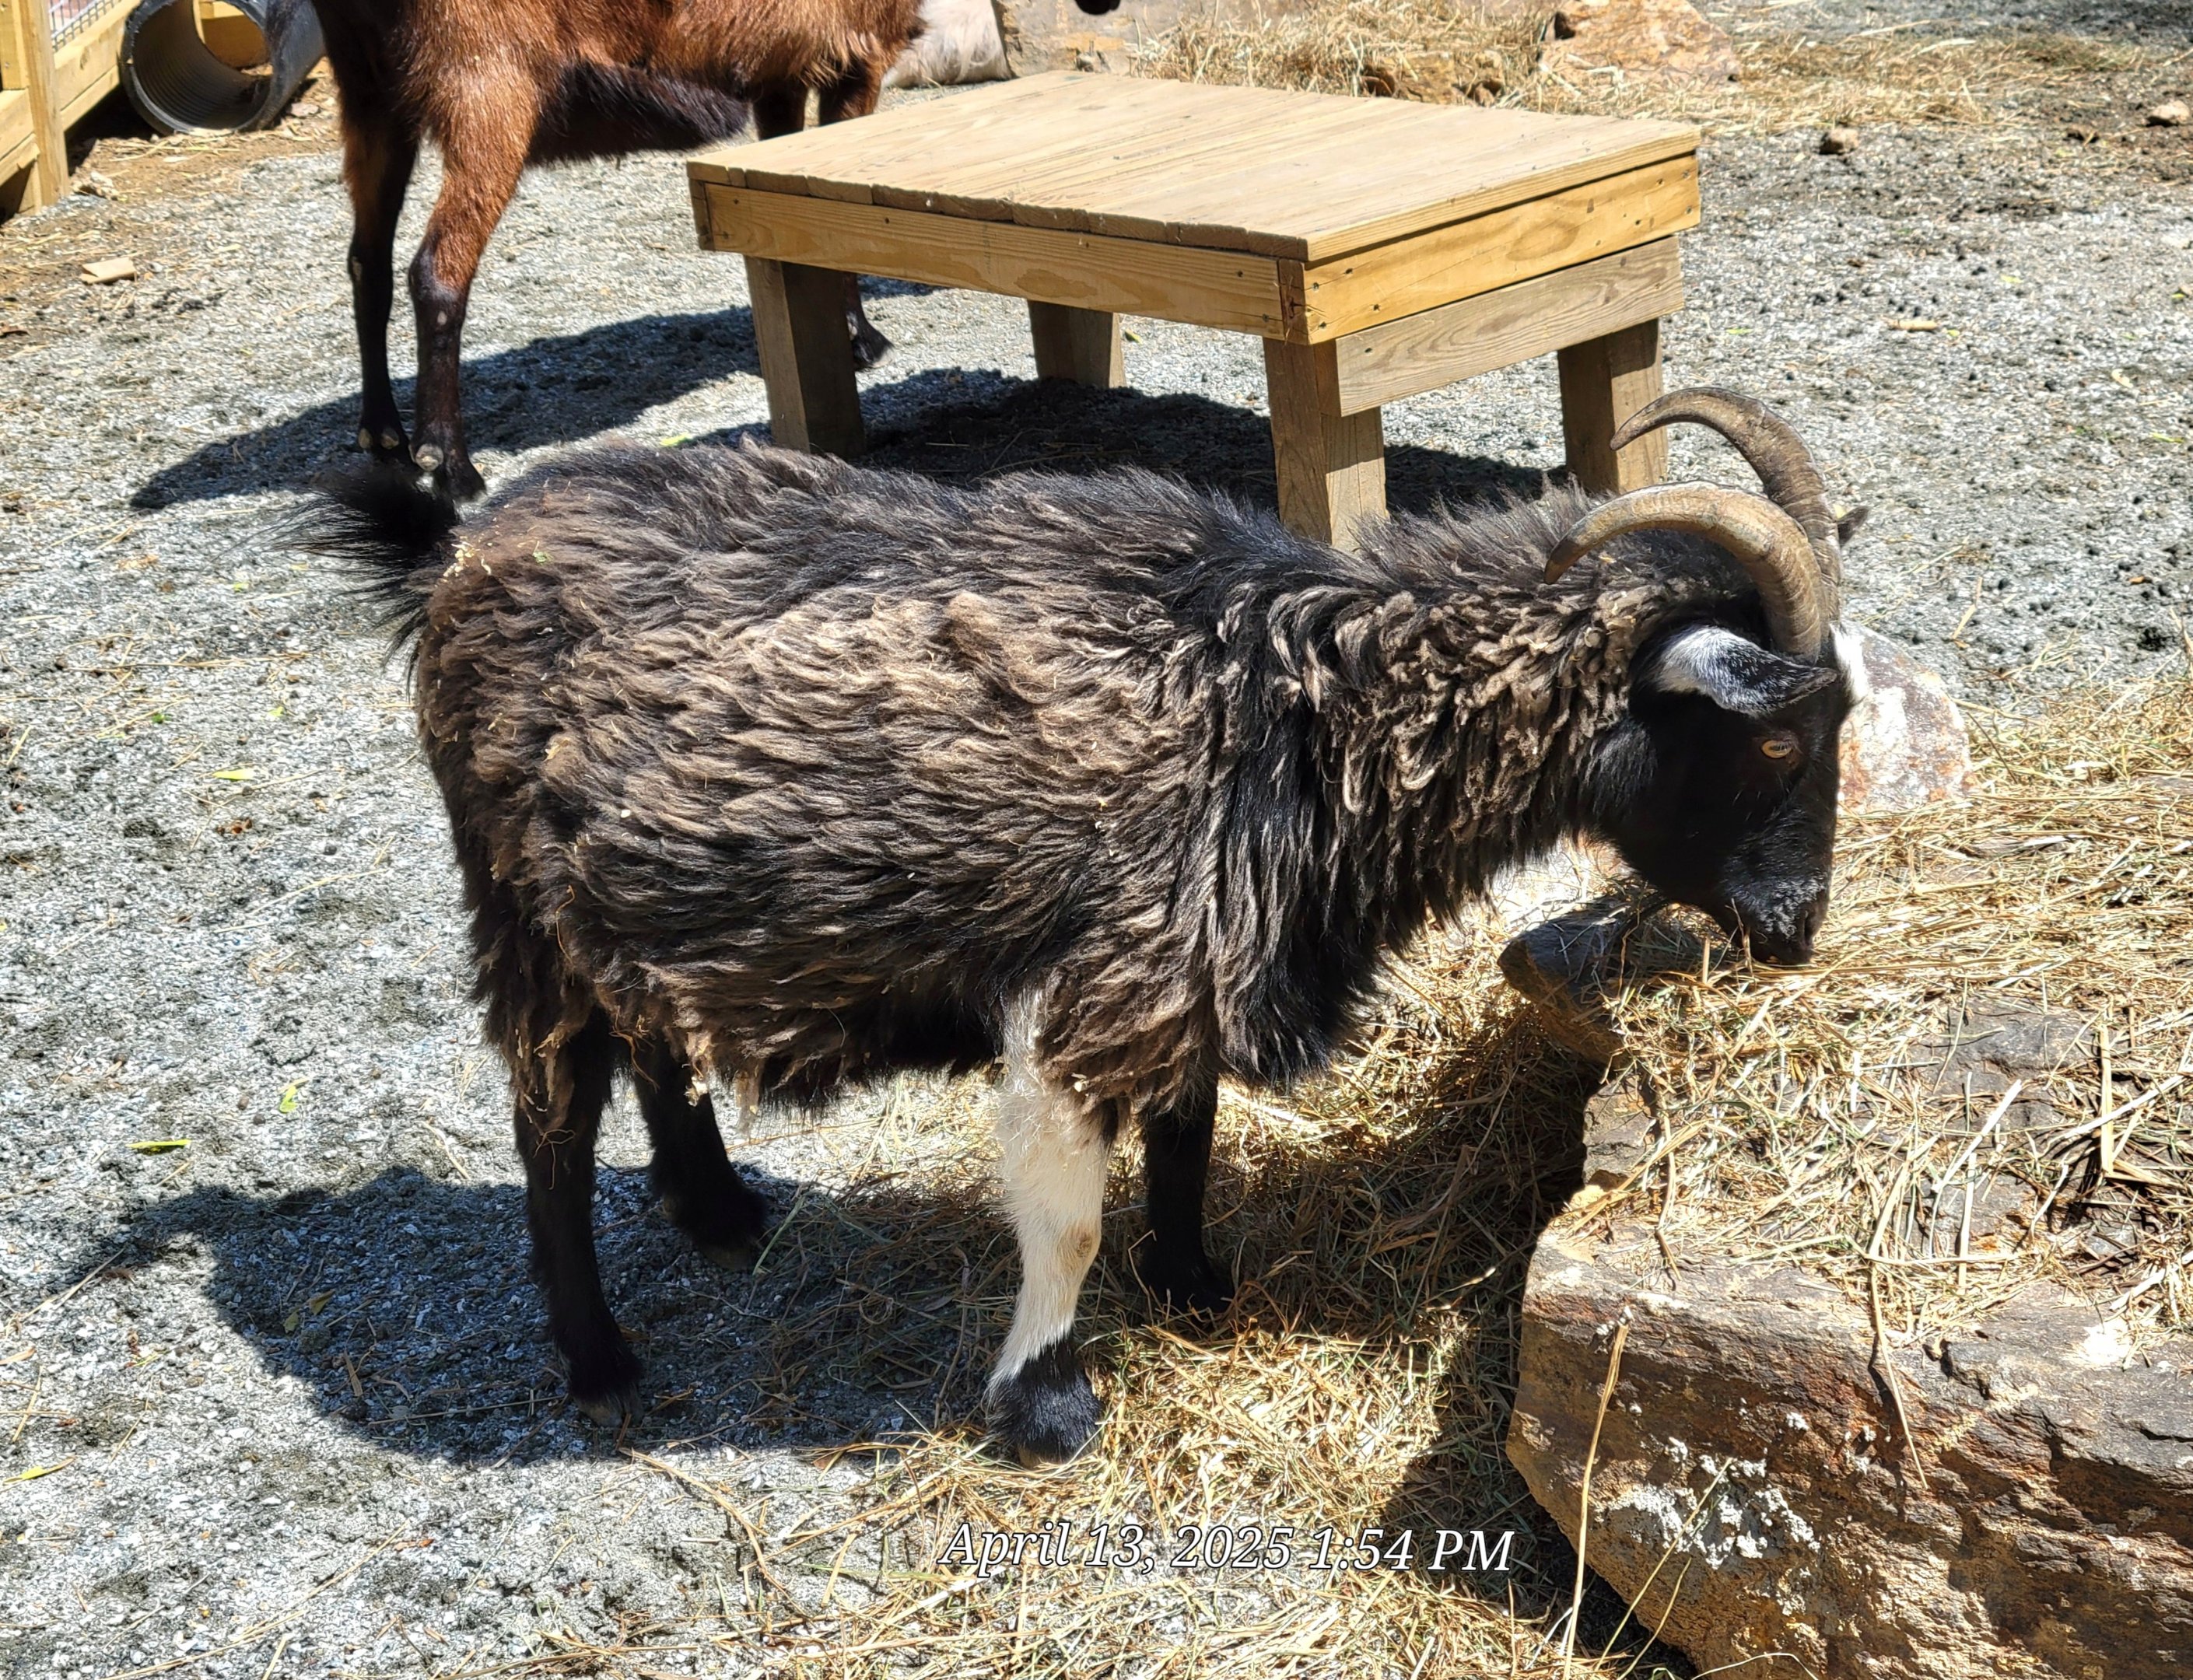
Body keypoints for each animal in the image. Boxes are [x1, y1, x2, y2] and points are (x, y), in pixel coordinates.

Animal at [305, 388, 1865, 1465]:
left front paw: (1192, 1282)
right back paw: (597, 1357)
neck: (1294, 708)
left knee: (648, 1042)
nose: (1794, 932)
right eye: (1778, 741)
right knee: (549, 1119)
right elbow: (1064, 1214)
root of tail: (463, 553)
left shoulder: (1196, 968)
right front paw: (1046, 1403)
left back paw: (718, 1212)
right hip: (514, 904)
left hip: (624, 901)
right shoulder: (1103, 977)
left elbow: (1185, 1137)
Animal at [313, 0, 925, 502]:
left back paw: (384, 438)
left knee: (367, 265)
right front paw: (862, 340)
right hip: (486, 82)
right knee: (437, 273)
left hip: (370, 91)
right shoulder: (856, 53)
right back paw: (453, 468)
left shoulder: (782, 66)